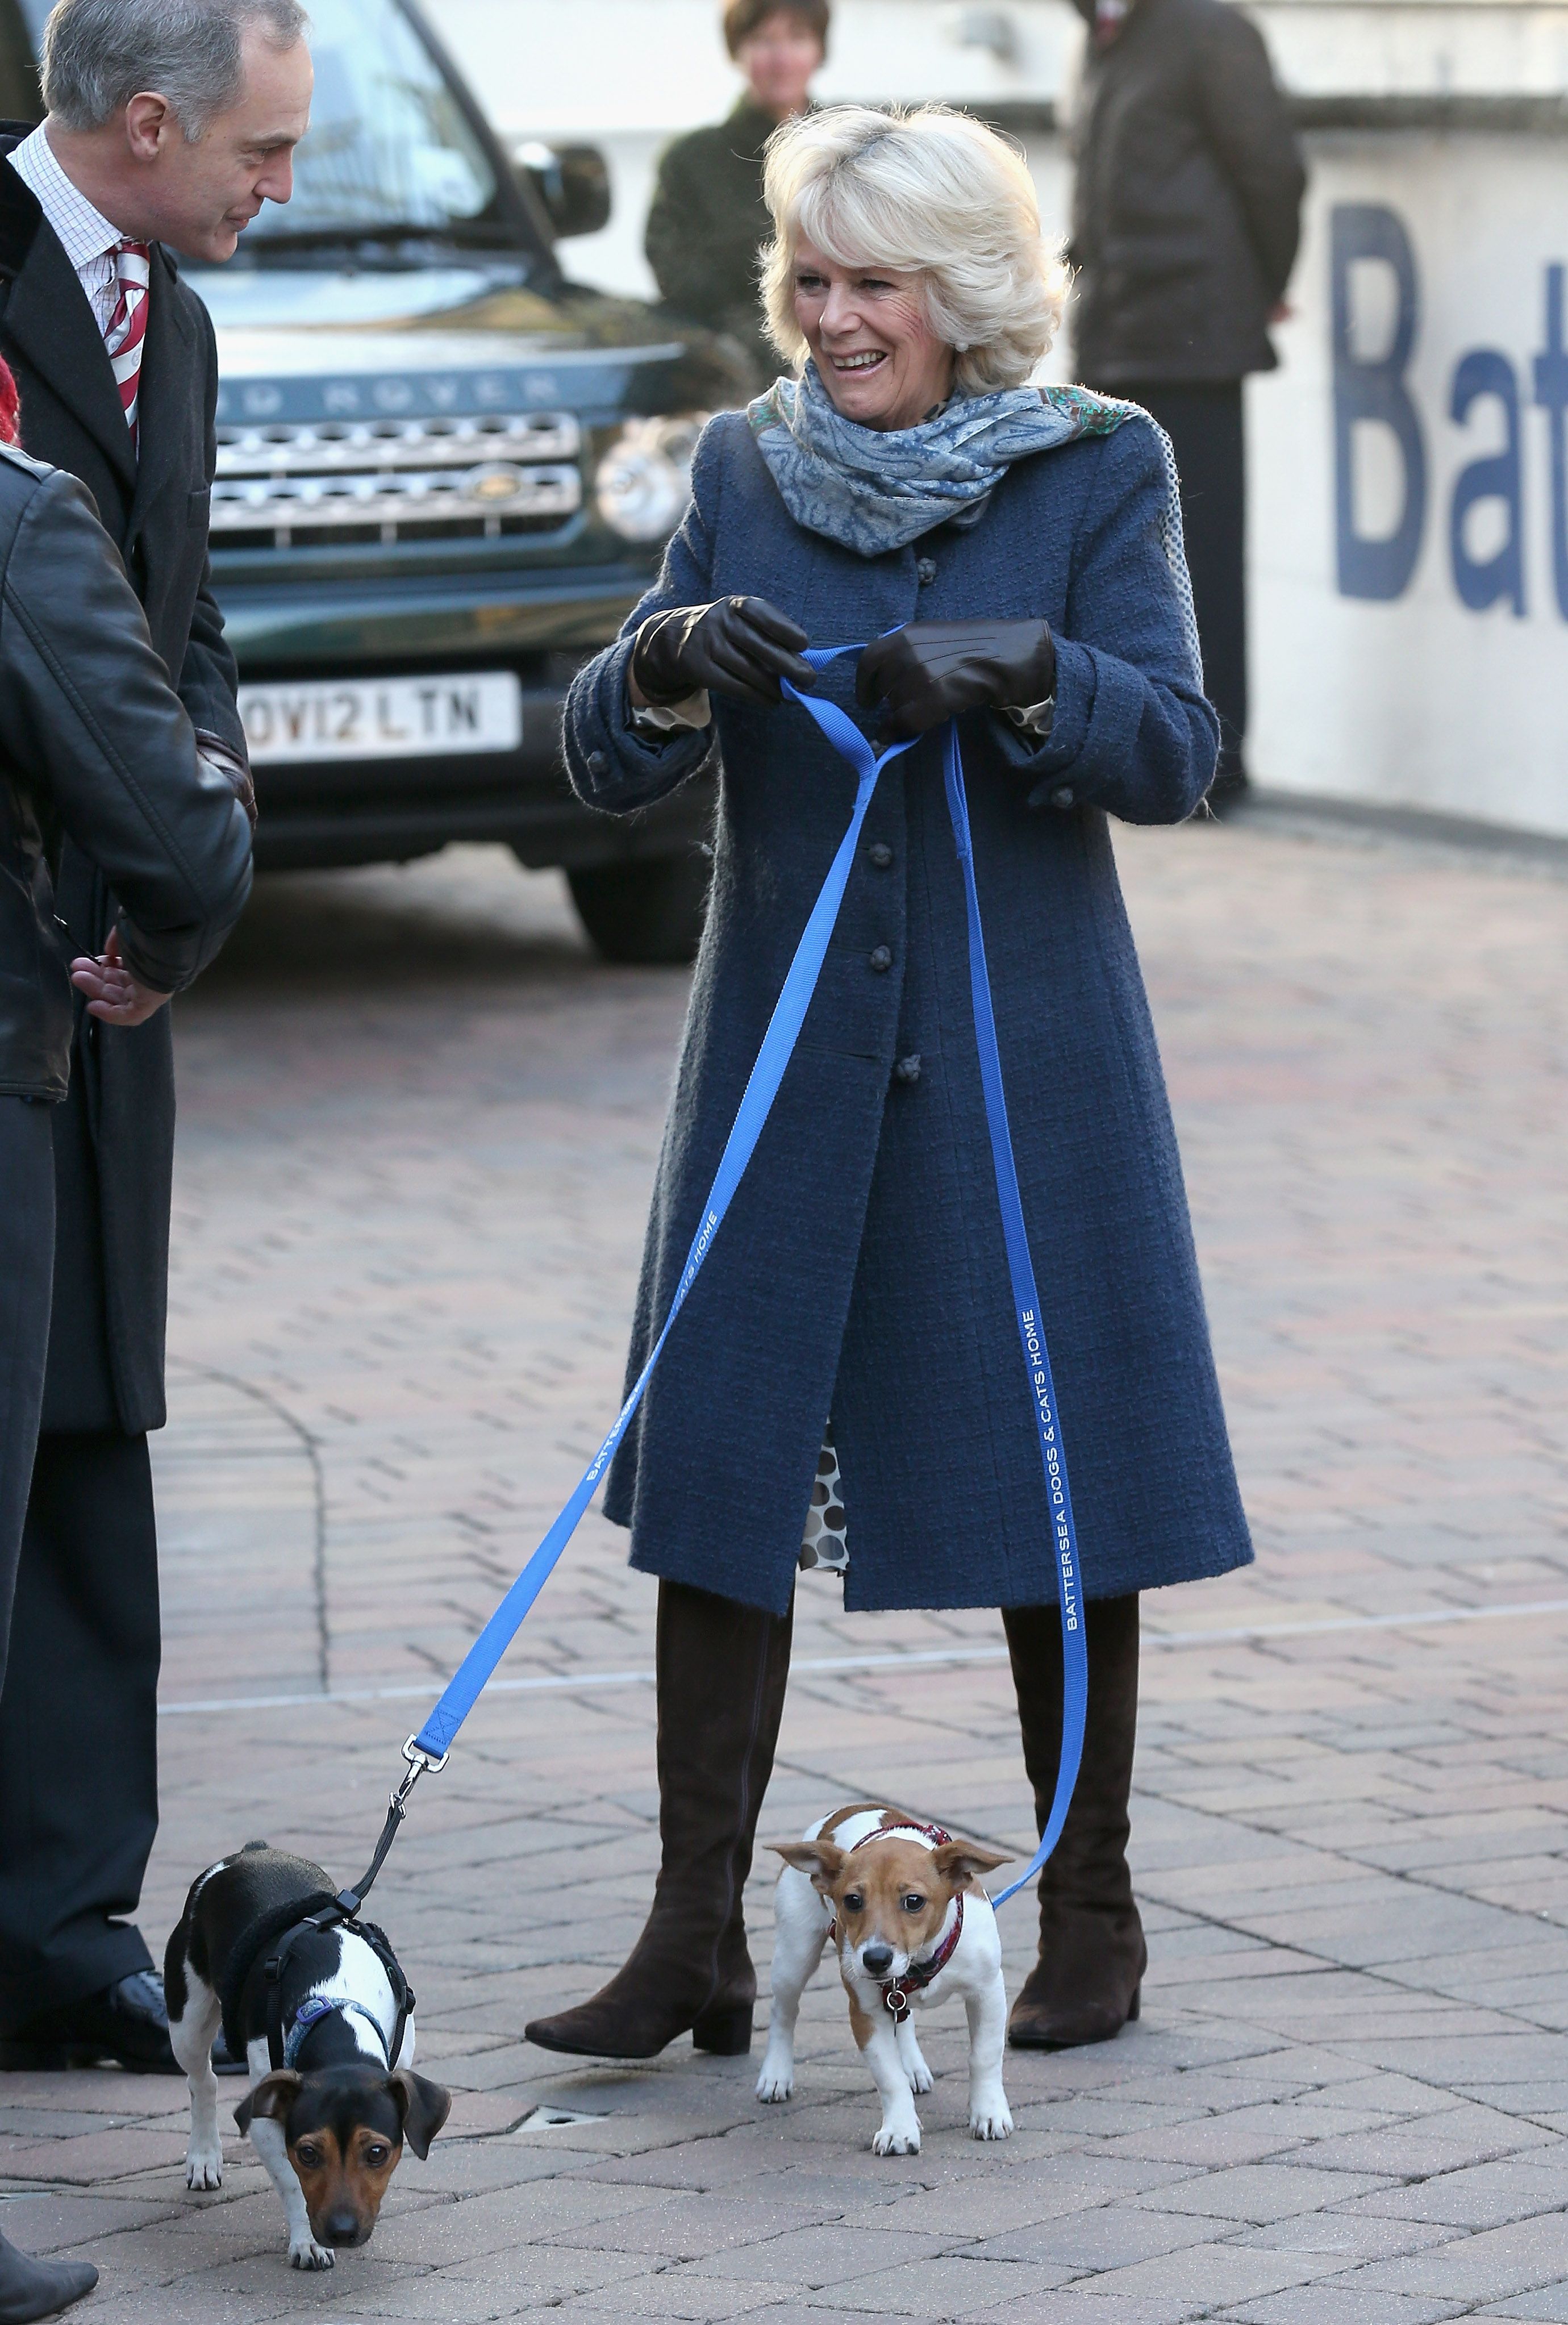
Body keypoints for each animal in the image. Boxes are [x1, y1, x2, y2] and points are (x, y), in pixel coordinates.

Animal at [165, 1851, 447, 2269]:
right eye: (309, 2154)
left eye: (376, 2153)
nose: (342, 2232)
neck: (337, 2007)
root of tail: (249, 1852)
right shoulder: (268, 2122)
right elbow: (294, 2185)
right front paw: (309, 2242)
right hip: (188, 2019)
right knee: (203, 2082)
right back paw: (204, 2157)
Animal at [758, 1795, 1014, 2157]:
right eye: (852, 1901)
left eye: (914, 1901)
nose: (876, 1959)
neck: (920, 1960)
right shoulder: (865, 2012)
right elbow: (889, 2078)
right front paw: (900, 2129)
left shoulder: (987, 1991)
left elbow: (985, 2056)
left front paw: (989, 2113)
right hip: (795, 1954)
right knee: (784, 2012)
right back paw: (775, 2075)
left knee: (904, 2019)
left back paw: (914, 2067)